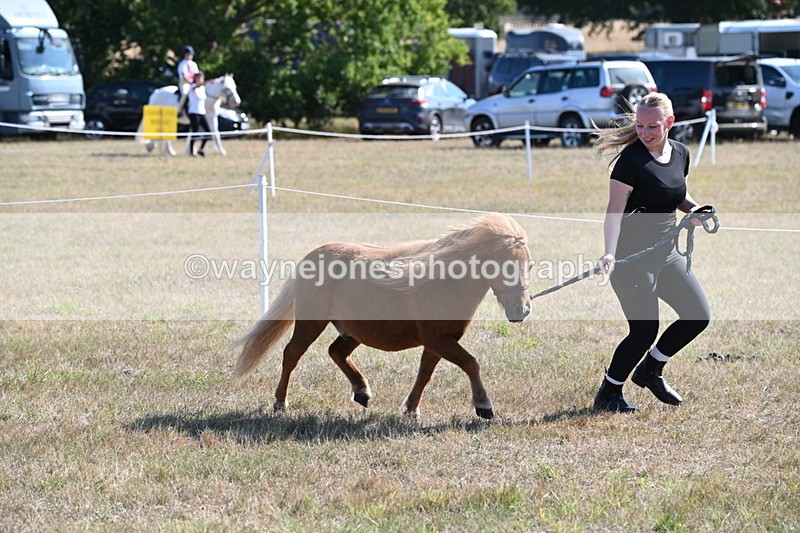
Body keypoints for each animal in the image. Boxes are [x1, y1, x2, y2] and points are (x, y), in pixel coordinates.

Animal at [235, 213, 533, 420]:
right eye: (504, 265)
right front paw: (484, 406)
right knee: (292, 354)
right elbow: (471, 363)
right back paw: (280, 402)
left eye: (528, 264)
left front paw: (411, 409)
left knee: (336, 352)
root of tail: (311, 257)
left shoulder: (438, 342)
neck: (444, 282)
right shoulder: (439, 341)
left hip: (354, 330)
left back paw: (362, 392)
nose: (523, 310)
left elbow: (425, 373)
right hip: (311, 323)